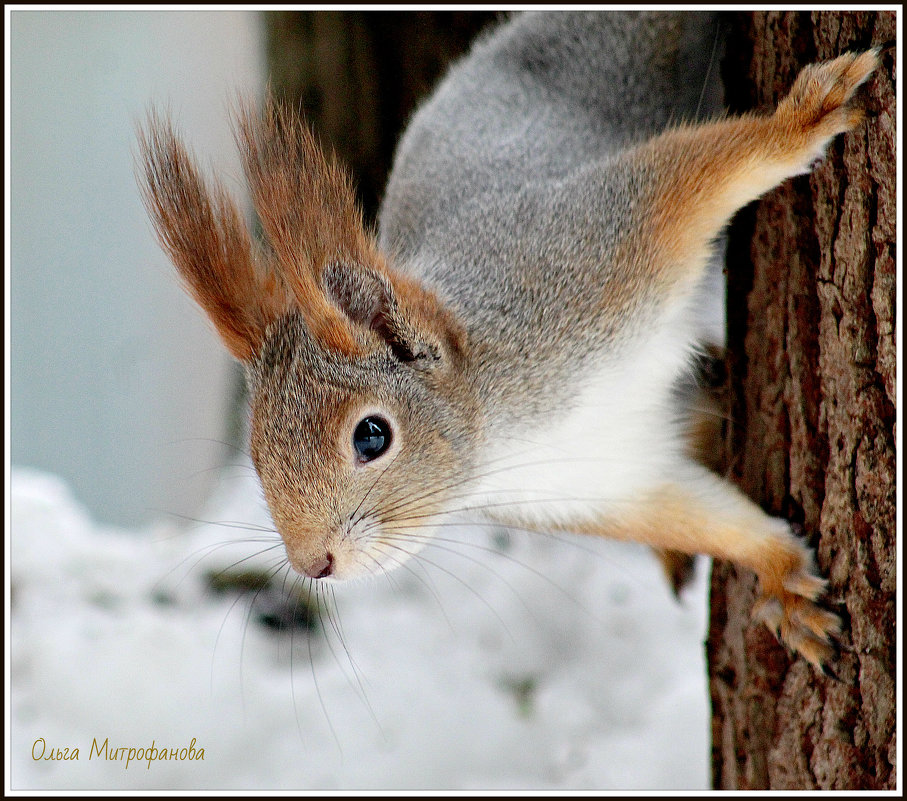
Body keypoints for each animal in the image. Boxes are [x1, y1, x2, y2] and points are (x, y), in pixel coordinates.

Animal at [138, 12, 884, 672]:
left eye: (372, 436)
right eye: (257, 455)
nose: (312, 563)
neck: (501, 428)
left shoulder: (593, 250)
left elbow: (698, 175)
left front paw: (800, 121)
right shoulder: (608, 478)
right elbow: (704, 517)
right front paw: (780, 576)